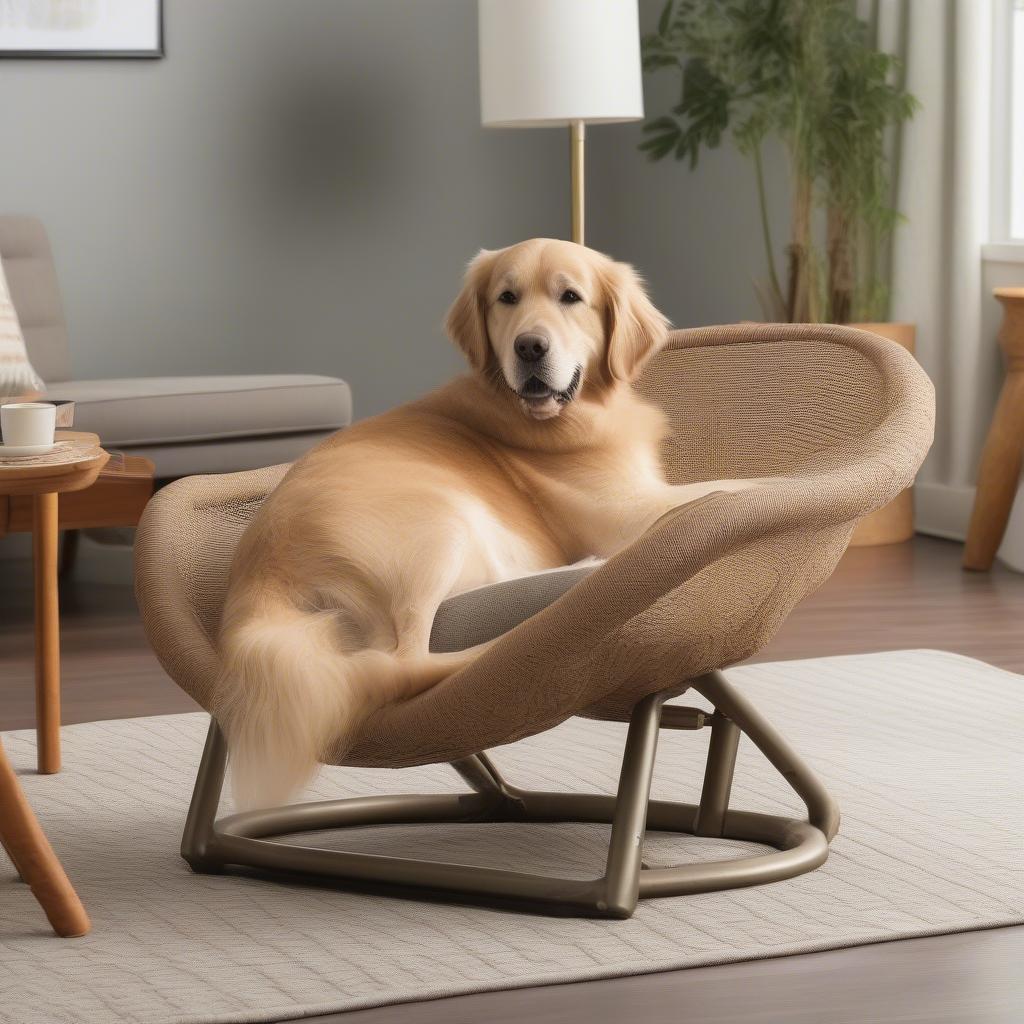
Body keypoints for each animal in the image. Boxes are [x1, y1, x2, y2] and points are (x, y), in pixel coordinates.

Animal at [218, 239, 753, 806]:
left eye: (570, 297)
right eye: (506, 297)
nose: (530, 347)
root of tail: (259, 578)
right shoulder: (627, 512)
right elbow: (734, 486)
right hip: (439, 521)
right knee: (405, 663)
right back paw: (507, 640)